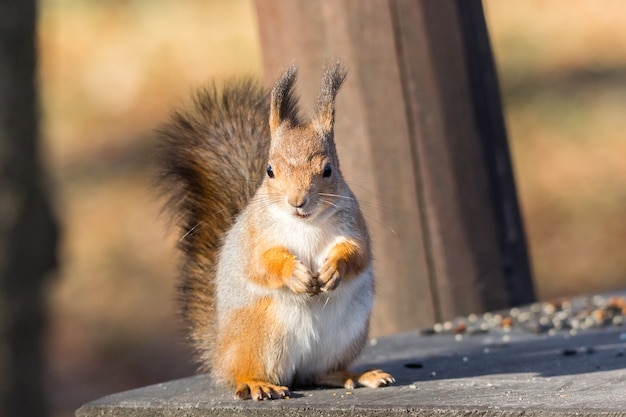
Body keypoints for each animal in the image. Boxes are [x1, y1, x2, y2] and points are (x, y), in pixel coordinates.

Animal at [158, 62, 392, 400]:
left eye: (328, 170)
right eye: (269, 171)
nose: (297, 201)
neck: (305, 222)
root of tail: (220, 354)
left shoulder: (355, 226)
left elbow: (358, 254)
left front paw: (333, 268)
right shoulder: (255, 237)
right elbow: (260, 264)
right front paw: (294, 273)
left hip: (347, 334)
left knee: (319, 373)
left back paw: (357, 375)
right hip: (261, 333)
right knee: (246, 371)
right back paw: (257, 382)